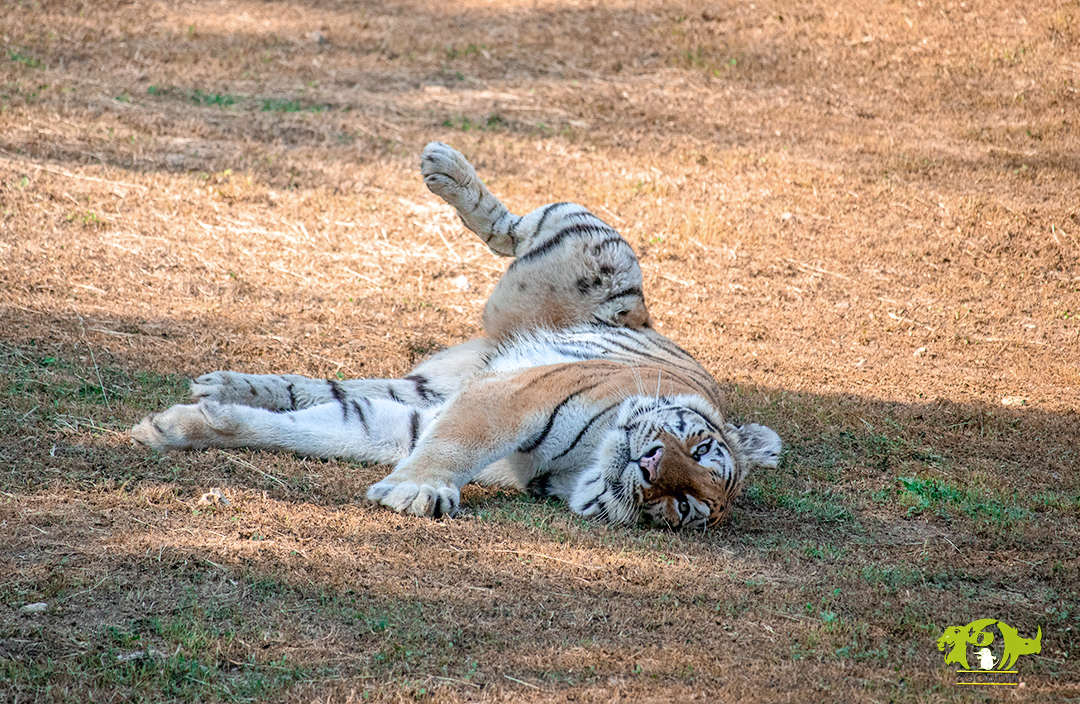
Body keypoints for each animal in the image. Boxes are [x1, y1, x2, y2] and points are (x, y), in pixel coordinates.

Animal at [130, 142, 782, 529]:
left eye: (683, 504)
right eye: (697, 447)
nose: (650, 466)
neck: (579, 467)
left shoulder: (416, 420)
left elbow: (311, 427)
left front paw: (179, 426)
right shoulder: (509, 397)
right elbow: (458, 444)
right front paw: (416, 493)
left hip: (423, 384)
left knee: (319, 389)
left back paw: (219, 384)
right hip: (599, 261)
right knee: (513, 229)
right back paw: (444, 168)